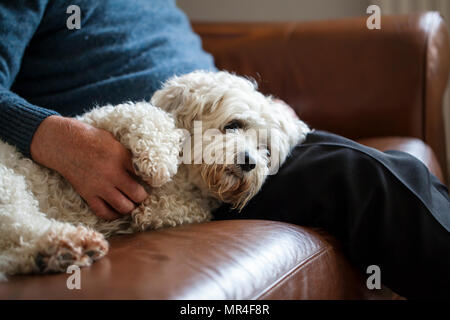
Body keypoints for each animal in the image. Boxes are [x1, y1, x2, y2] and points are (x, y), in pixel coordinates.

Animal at [0, 71, 310, 276]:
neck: (185, 178)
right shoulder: (94, 124)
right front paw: (158, 161)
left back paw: (60, 251)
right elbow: (145, 115)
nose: (249, 162)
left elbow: (181, 209)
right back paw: (67, 244)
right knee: (21, 224)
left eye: (265, 149)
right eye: (234, 125)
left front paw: (152, 208)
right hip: (9, 185)